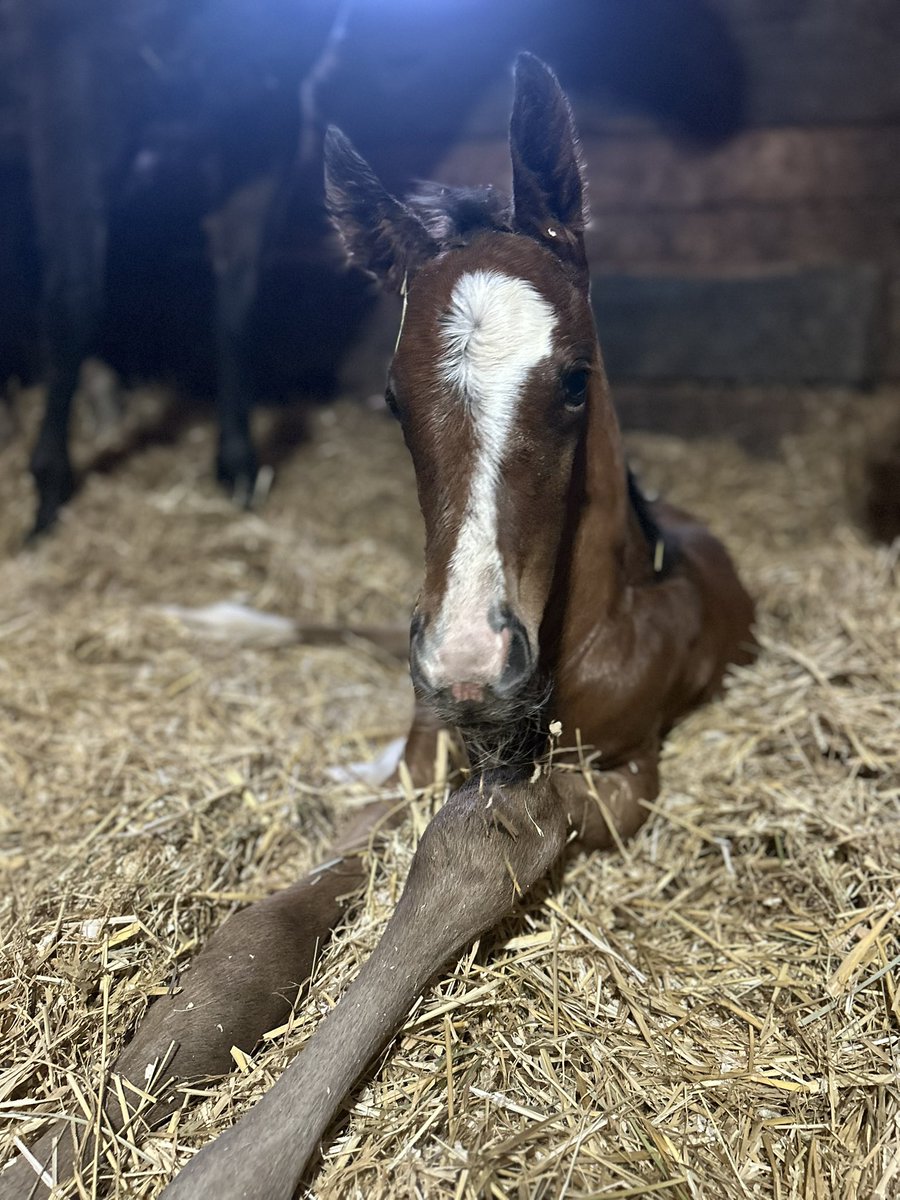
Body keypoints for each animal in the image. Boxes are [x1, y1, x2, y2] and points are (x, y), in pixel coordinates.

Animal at [0, 53, 754, 1199]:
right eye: (393, 401)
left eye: (574, 381)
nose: (468, 664)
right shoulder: (414, 767)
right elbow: (252, 941)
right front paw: (52, 1153)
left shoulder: (619, 779)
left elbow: (466, 862)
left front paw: (234, 1165)